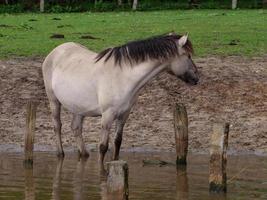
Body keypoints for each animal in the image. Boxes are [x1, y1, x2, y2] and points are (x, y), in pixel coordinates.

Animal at [42, 32, 199, 169]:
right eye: (188, 55)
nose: (196, 78)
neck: (123, 77)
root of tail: (56, 51)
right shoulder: (107, 115)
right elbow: (103, 146)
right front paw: (102, 172)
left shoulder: (124, 114)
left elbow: (117, 142)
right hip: (53, 101)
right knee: (57, 126)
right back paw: (60, 153)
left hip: (79, 107)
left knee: (76, 128)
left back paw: (84, 154)